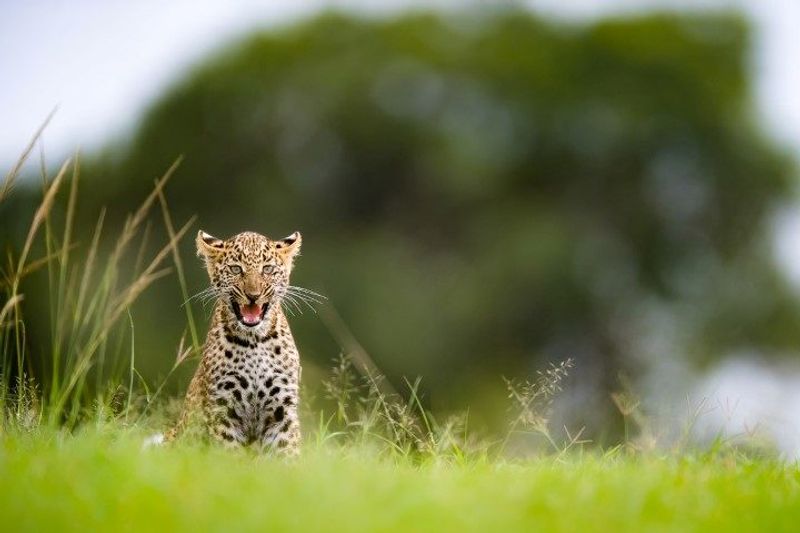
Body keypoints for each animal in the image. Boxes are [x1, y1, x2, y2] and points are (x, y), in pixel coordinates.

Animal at [164, 229, 306, 456]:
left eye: (267, 269)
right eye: (236, 269)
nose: (253, 295)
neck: (255, 340)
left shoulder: (282, 410)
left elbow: (286, 452)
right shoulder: (223, 409)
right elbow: (229, 454)